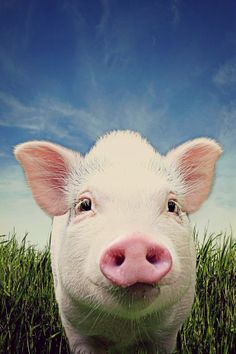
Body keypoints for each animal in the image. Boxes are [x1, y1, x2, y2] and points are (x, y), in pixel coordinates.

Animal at [13, 131, 222, 352]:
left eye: (172, 205)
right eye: (84, 205)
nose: (135, 242)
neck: (124, 330)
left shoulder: (169, 331)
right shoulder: (73, 324)